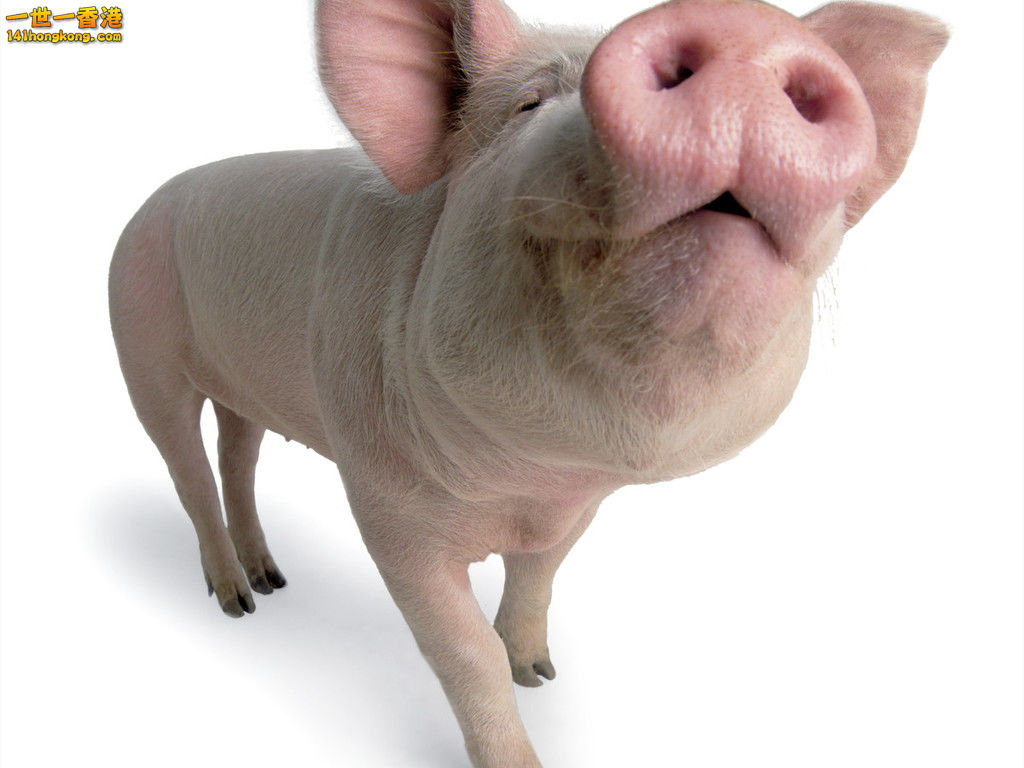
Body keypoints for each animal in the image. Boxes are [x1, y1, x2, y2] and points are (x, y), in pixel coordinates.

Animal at [107, 0, 947, 765]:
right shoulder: (383, 504)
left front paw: (540, 673)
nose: (745, 29)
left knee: (238, 455)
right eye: (528, 104)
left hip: (233, 383)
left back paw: (272, 578)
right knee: (188, 470)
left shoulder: (575, 510)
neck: (524, 486)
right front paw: (518, 750)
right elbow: (461, 649)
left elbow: (539, 578)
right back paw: (238, 604)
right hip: (138, 340)